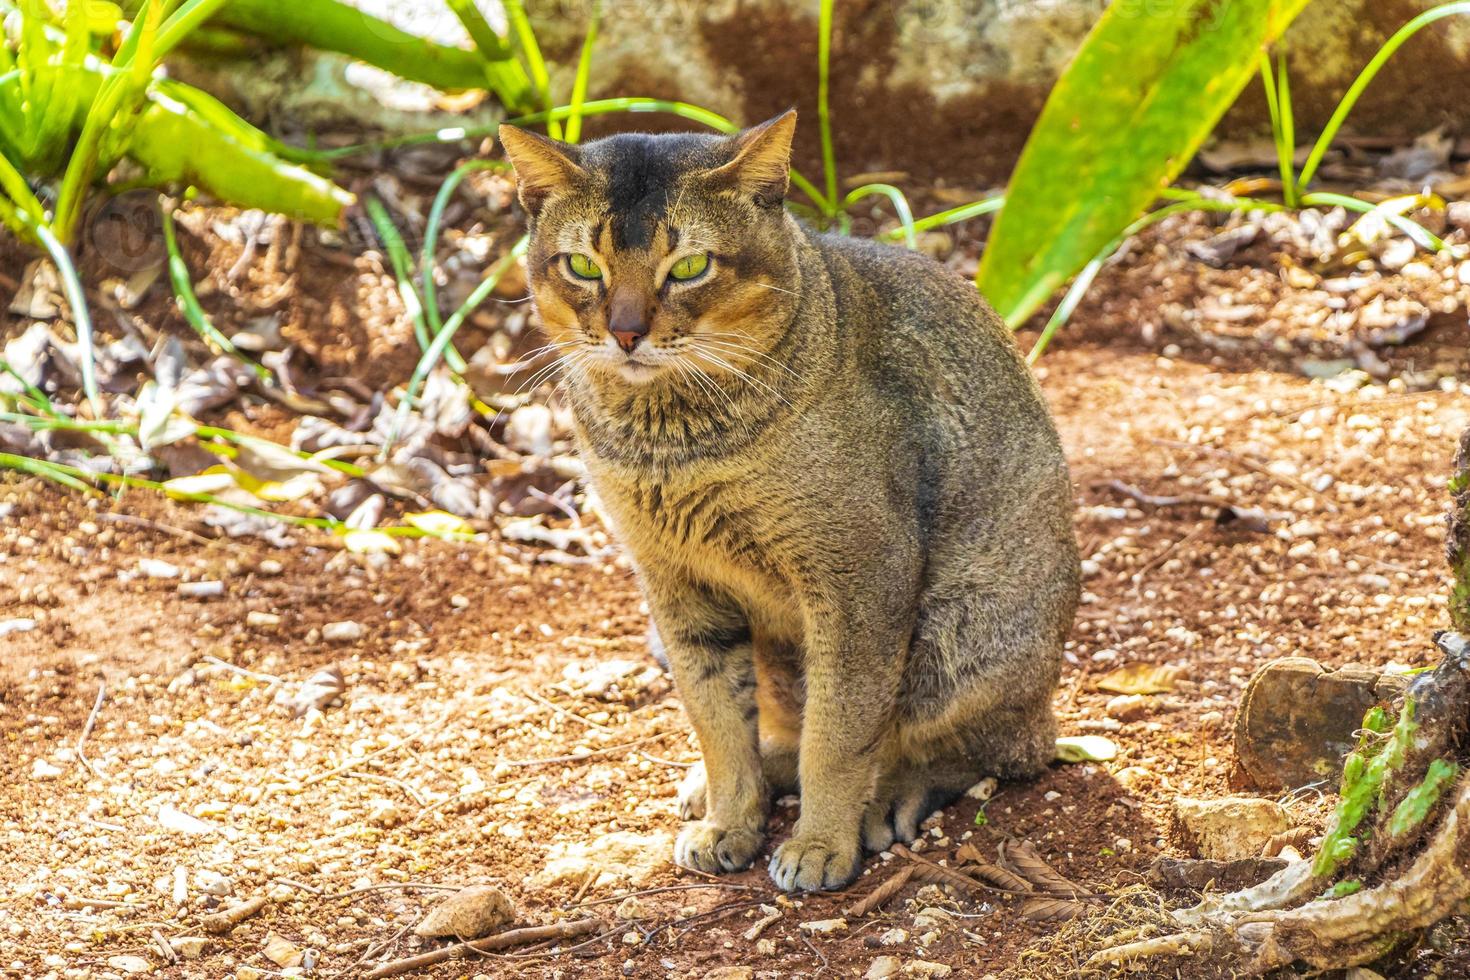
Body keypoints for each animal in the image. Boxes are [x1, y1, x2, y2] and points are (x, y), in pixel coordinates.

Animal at [499, 110, 1076, 893]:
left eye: (690, 267)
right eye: (583, 266)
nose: (625, 332)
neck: (675, 448)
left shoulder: (857, 577)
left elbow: (838, 733)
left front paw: (821, 843)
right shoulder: (676, 582)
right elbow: (716, 719)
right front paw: (730, 820)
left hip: (960, 633)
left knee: (983, 750)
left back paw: (887, 798)